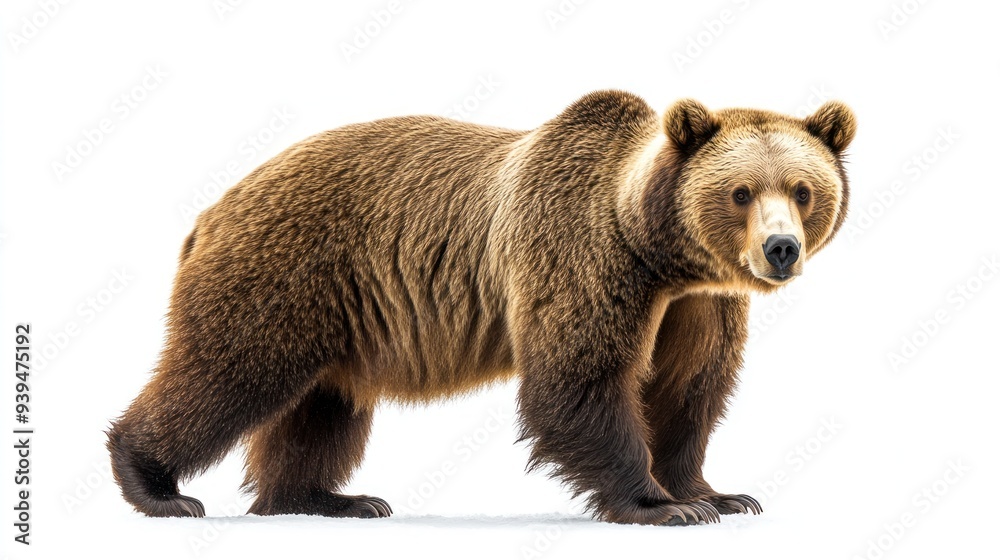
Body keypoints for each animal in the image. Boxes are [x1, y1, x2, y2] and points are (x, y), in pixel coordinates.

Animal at [107, 90, 855, 525]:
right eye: (740, 191)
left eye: (802, 189)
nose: (781, 248)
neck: (660, 253)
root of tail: (212, 209)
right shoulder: (582, 255)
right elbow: (579, 379)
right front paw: (657, 505)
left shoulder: (697, 303)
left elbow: (686, 389)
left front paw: (714, 493)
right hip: (284, 269)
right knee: (228, 374)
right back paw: (156, 485)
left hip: (335, 310)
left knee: (323, 408)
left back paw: (329, 499)